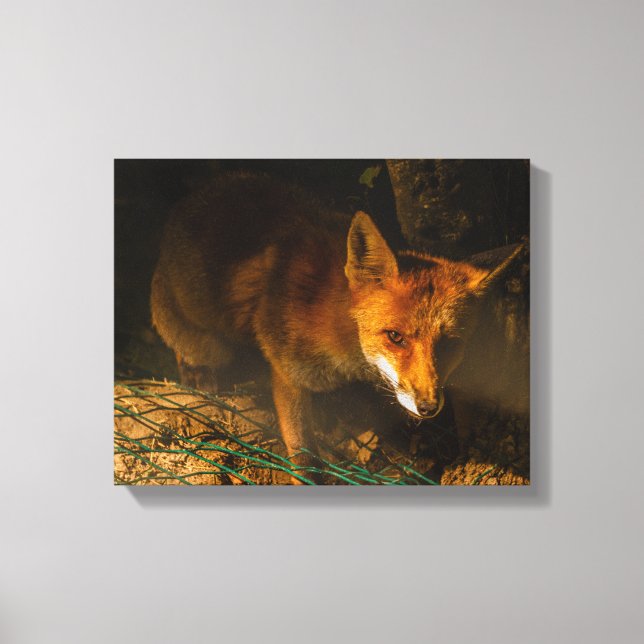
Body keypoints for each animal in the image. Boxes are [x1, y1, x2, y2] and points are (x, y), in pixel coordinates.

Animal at [150, 172, 527, 481]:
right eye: (395, 337)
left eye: (449, 343)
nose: (429, 407)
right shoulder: (287, 372)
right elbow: (304, 459)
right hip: (205, 342)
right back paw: (197, 375)